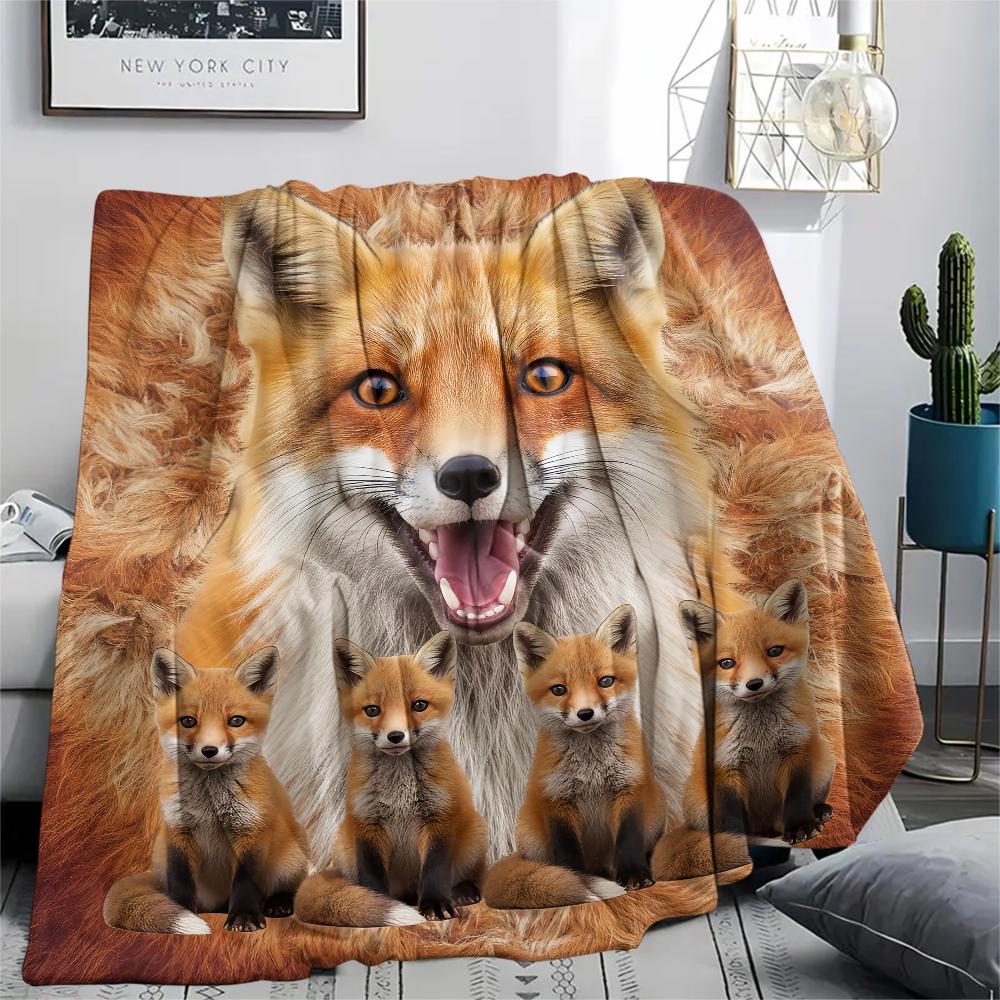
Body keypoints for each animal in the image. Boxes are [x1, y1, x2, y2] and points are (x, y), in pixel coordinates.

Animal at [103, 647, 309, 934]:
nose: (209, 750)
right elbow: (180, 882)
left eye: (236, 721)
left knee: (291, 885)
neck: (210, 807)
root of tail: (218, 903)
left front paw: (244, 918)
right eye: (188, 721)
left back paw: (278, 903)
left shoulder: (250, 832)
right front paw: (181, 910)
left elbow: (245, 884)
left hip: (290, 858)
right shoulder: (178, 832)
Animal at [294, 631, 488, 926]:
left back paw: (463, 891)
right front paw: (372, 904)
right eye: (372, 710)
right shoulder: (367, 824)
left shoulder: (439, 819)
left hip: (476, 833)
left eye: (419, 705)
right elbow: (371, 876)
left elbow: (435, 870)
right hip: (343, 843)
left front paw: (436, 904)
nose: (395, 736)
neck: (400, 794)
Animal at [484, 605, 666, 909]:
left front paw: (634, 875)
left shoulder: (628, 791)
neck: (591, 770)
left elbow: (629, 840)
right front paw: (577, 882)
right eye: (559, 689)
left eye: (605, 681)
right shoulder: (557, 802)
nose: (585, 713)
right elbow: (568, 855)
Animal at [653, 580, 834, 880]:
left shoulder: (797, 753)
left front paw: (801, 826)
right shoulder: (725, 767)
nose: (754, 683)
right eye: (727, 663)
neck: (761, 737)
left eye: (774, 651)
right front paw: (734, 846)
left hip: (824, 758)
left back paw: (819, 811)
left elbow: (797, 796)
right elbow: (732, 818)